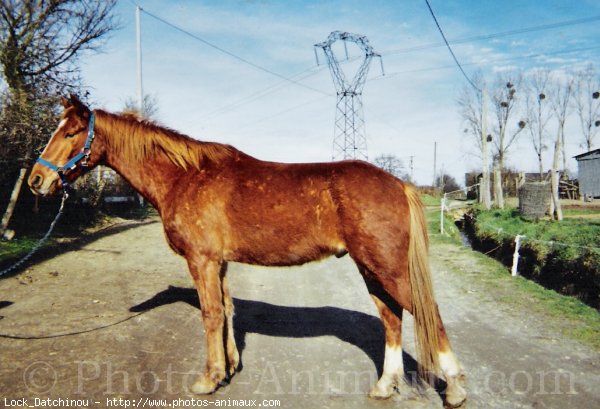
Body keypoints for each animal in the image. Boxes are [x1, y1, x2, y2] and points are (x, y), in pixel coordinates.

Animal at [28, 95, 466, 404]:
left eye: (70, 133)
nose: (35, 180)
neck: (185, 177)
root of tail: (399, 184)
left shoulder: (202, 261)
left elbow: (210, 315)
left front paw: (207, 379)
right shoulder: (219, 264)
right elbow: (227, 311)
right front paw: (228, 369)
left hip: (387, 268)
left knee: (428, 314)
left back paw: (456, 389)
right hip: (372, 269)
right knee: (391, 319)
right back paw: (384, 386)